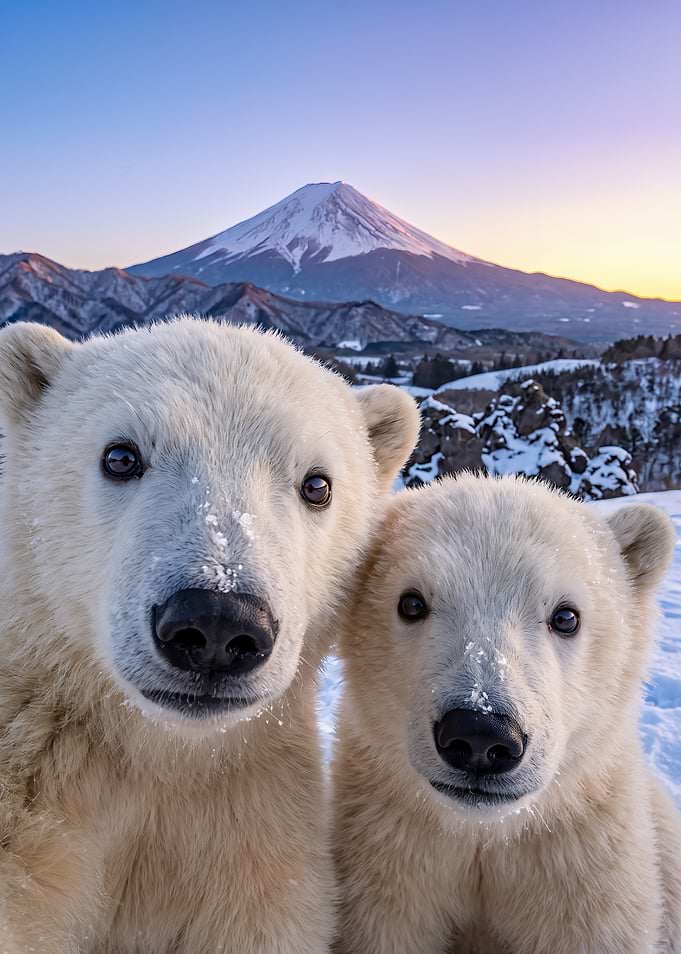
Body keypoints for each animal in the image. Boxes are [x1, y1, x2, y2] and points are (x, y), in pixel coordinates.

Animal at [0, 317, 420, 954]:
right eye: (120, 455)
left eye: (317, 484)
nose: (219, 623)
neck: (160, 753)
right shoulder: (30, 800)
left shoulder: (248, 828)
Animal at [333, 474, 681, 954]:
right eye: (411, 603)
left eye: (566, 616)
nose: (481, 734)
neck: (485, 834)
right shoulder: (392, 853)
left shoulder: (580, 860)